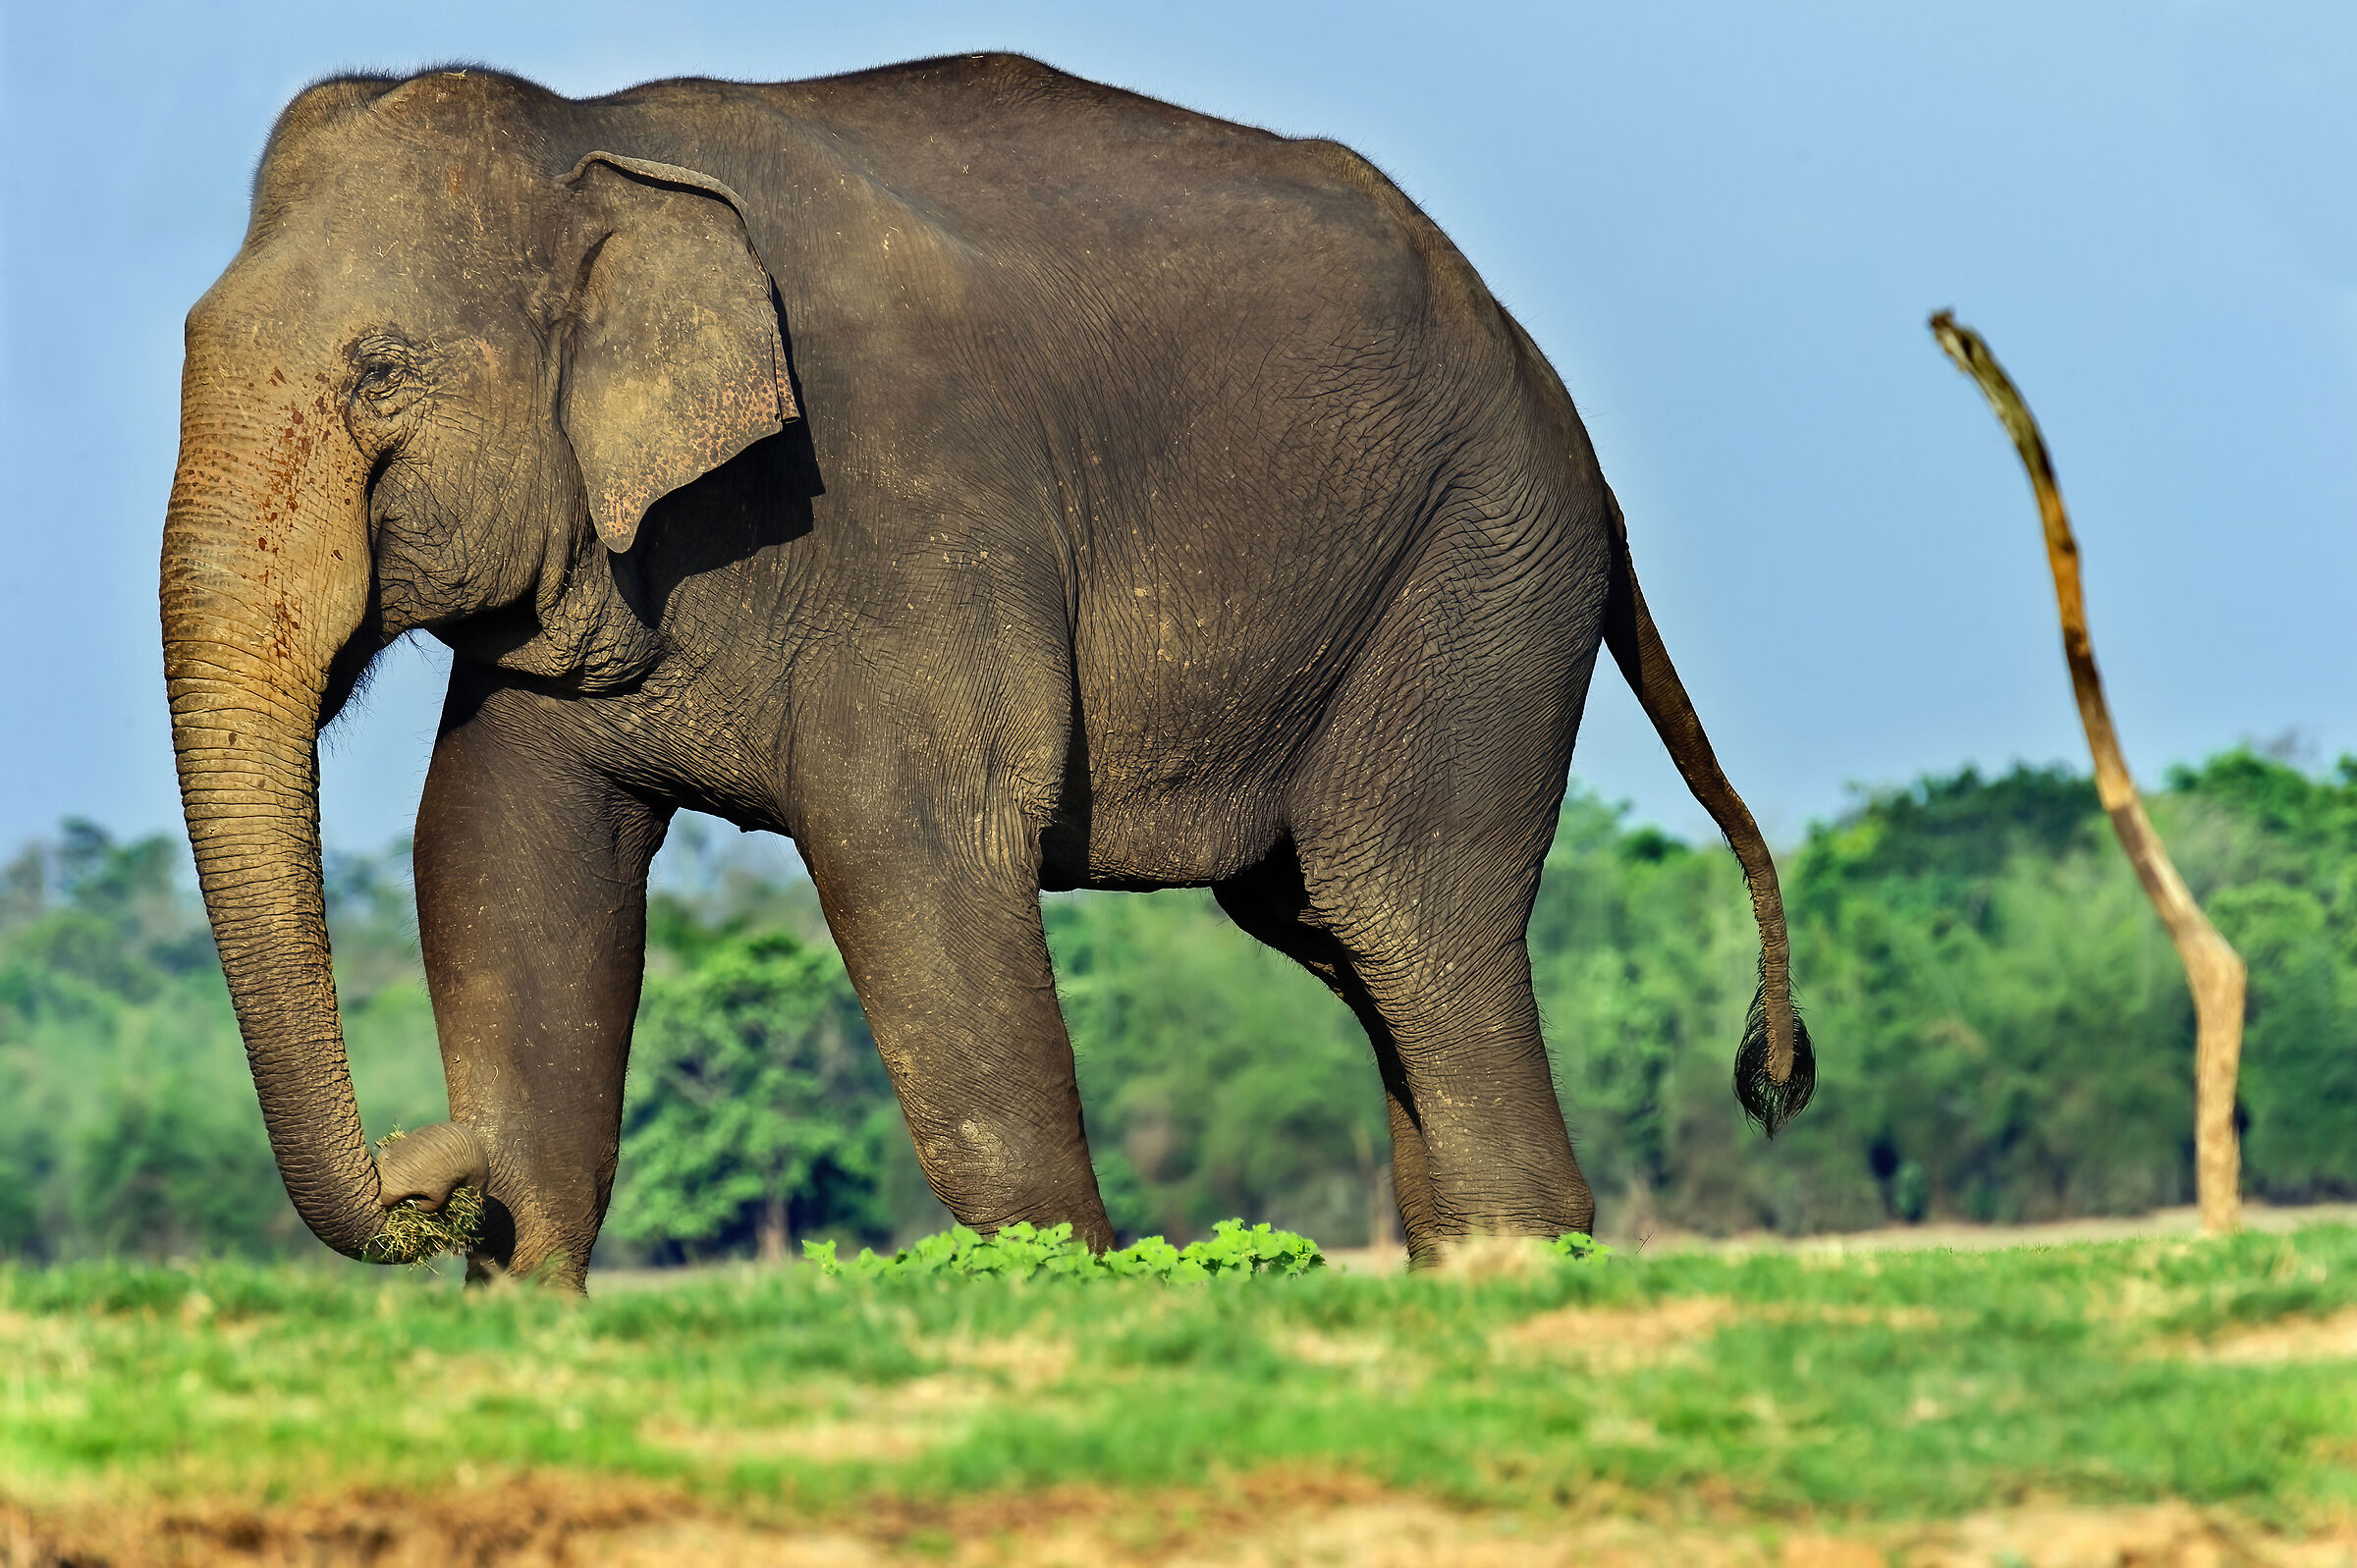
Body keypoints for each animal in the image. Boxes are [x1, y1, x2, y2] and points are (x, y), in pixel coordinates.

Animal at [162, 54, 1814, 1286]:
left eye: (380, 373)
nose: (435, 1163)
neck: (595, 136)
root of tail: (1570, 428)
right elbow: (502, 861)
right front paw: (525, 1297)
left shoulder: (906, 501)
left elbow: (921, 858)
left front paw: (1058, 1281)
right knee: (1341, 934)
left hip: (1478, 570)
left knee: (1407, 904)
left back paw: (1518, 1259)